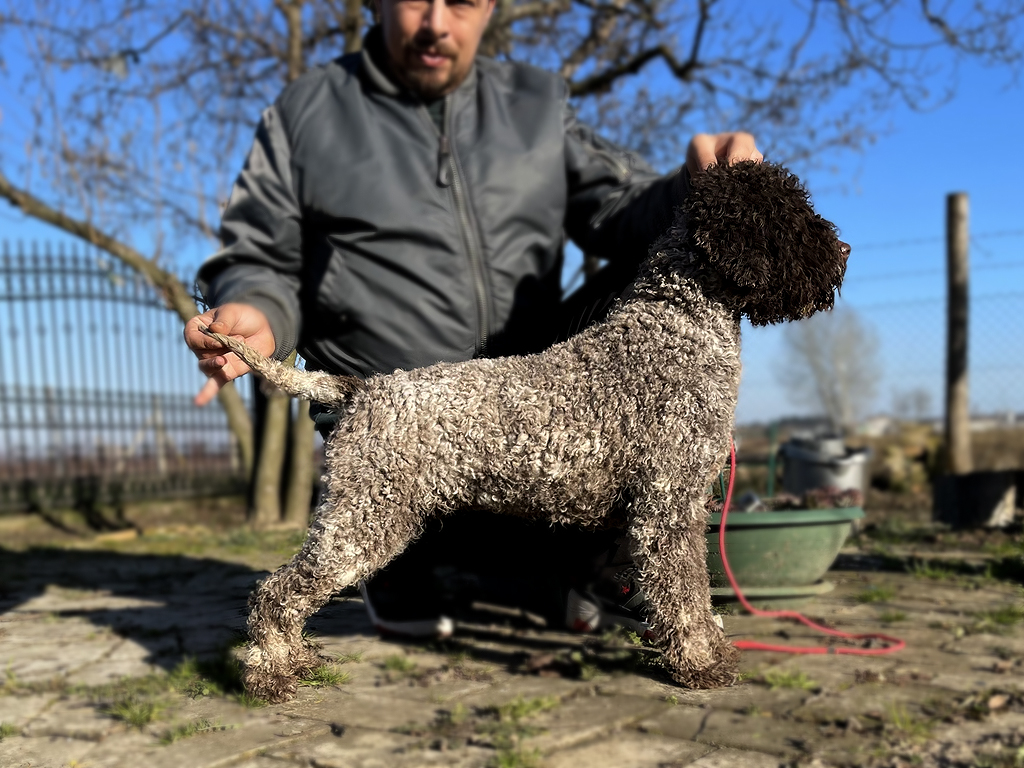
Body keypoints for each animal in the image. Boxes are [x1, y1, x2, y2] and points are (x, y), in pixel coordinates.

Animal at [199, 160, 847, 704]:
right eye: (789, 220)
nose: (840, 252)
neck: (675, 327)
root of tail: (361, 390)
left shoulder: (672, 510)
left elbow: (688, 593)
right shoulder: (668, 509)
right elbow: (685, 593)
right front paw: (702, 663)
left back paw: (294, 660)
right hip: (365, 522)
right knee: (277, 591)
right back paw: (269, 672)